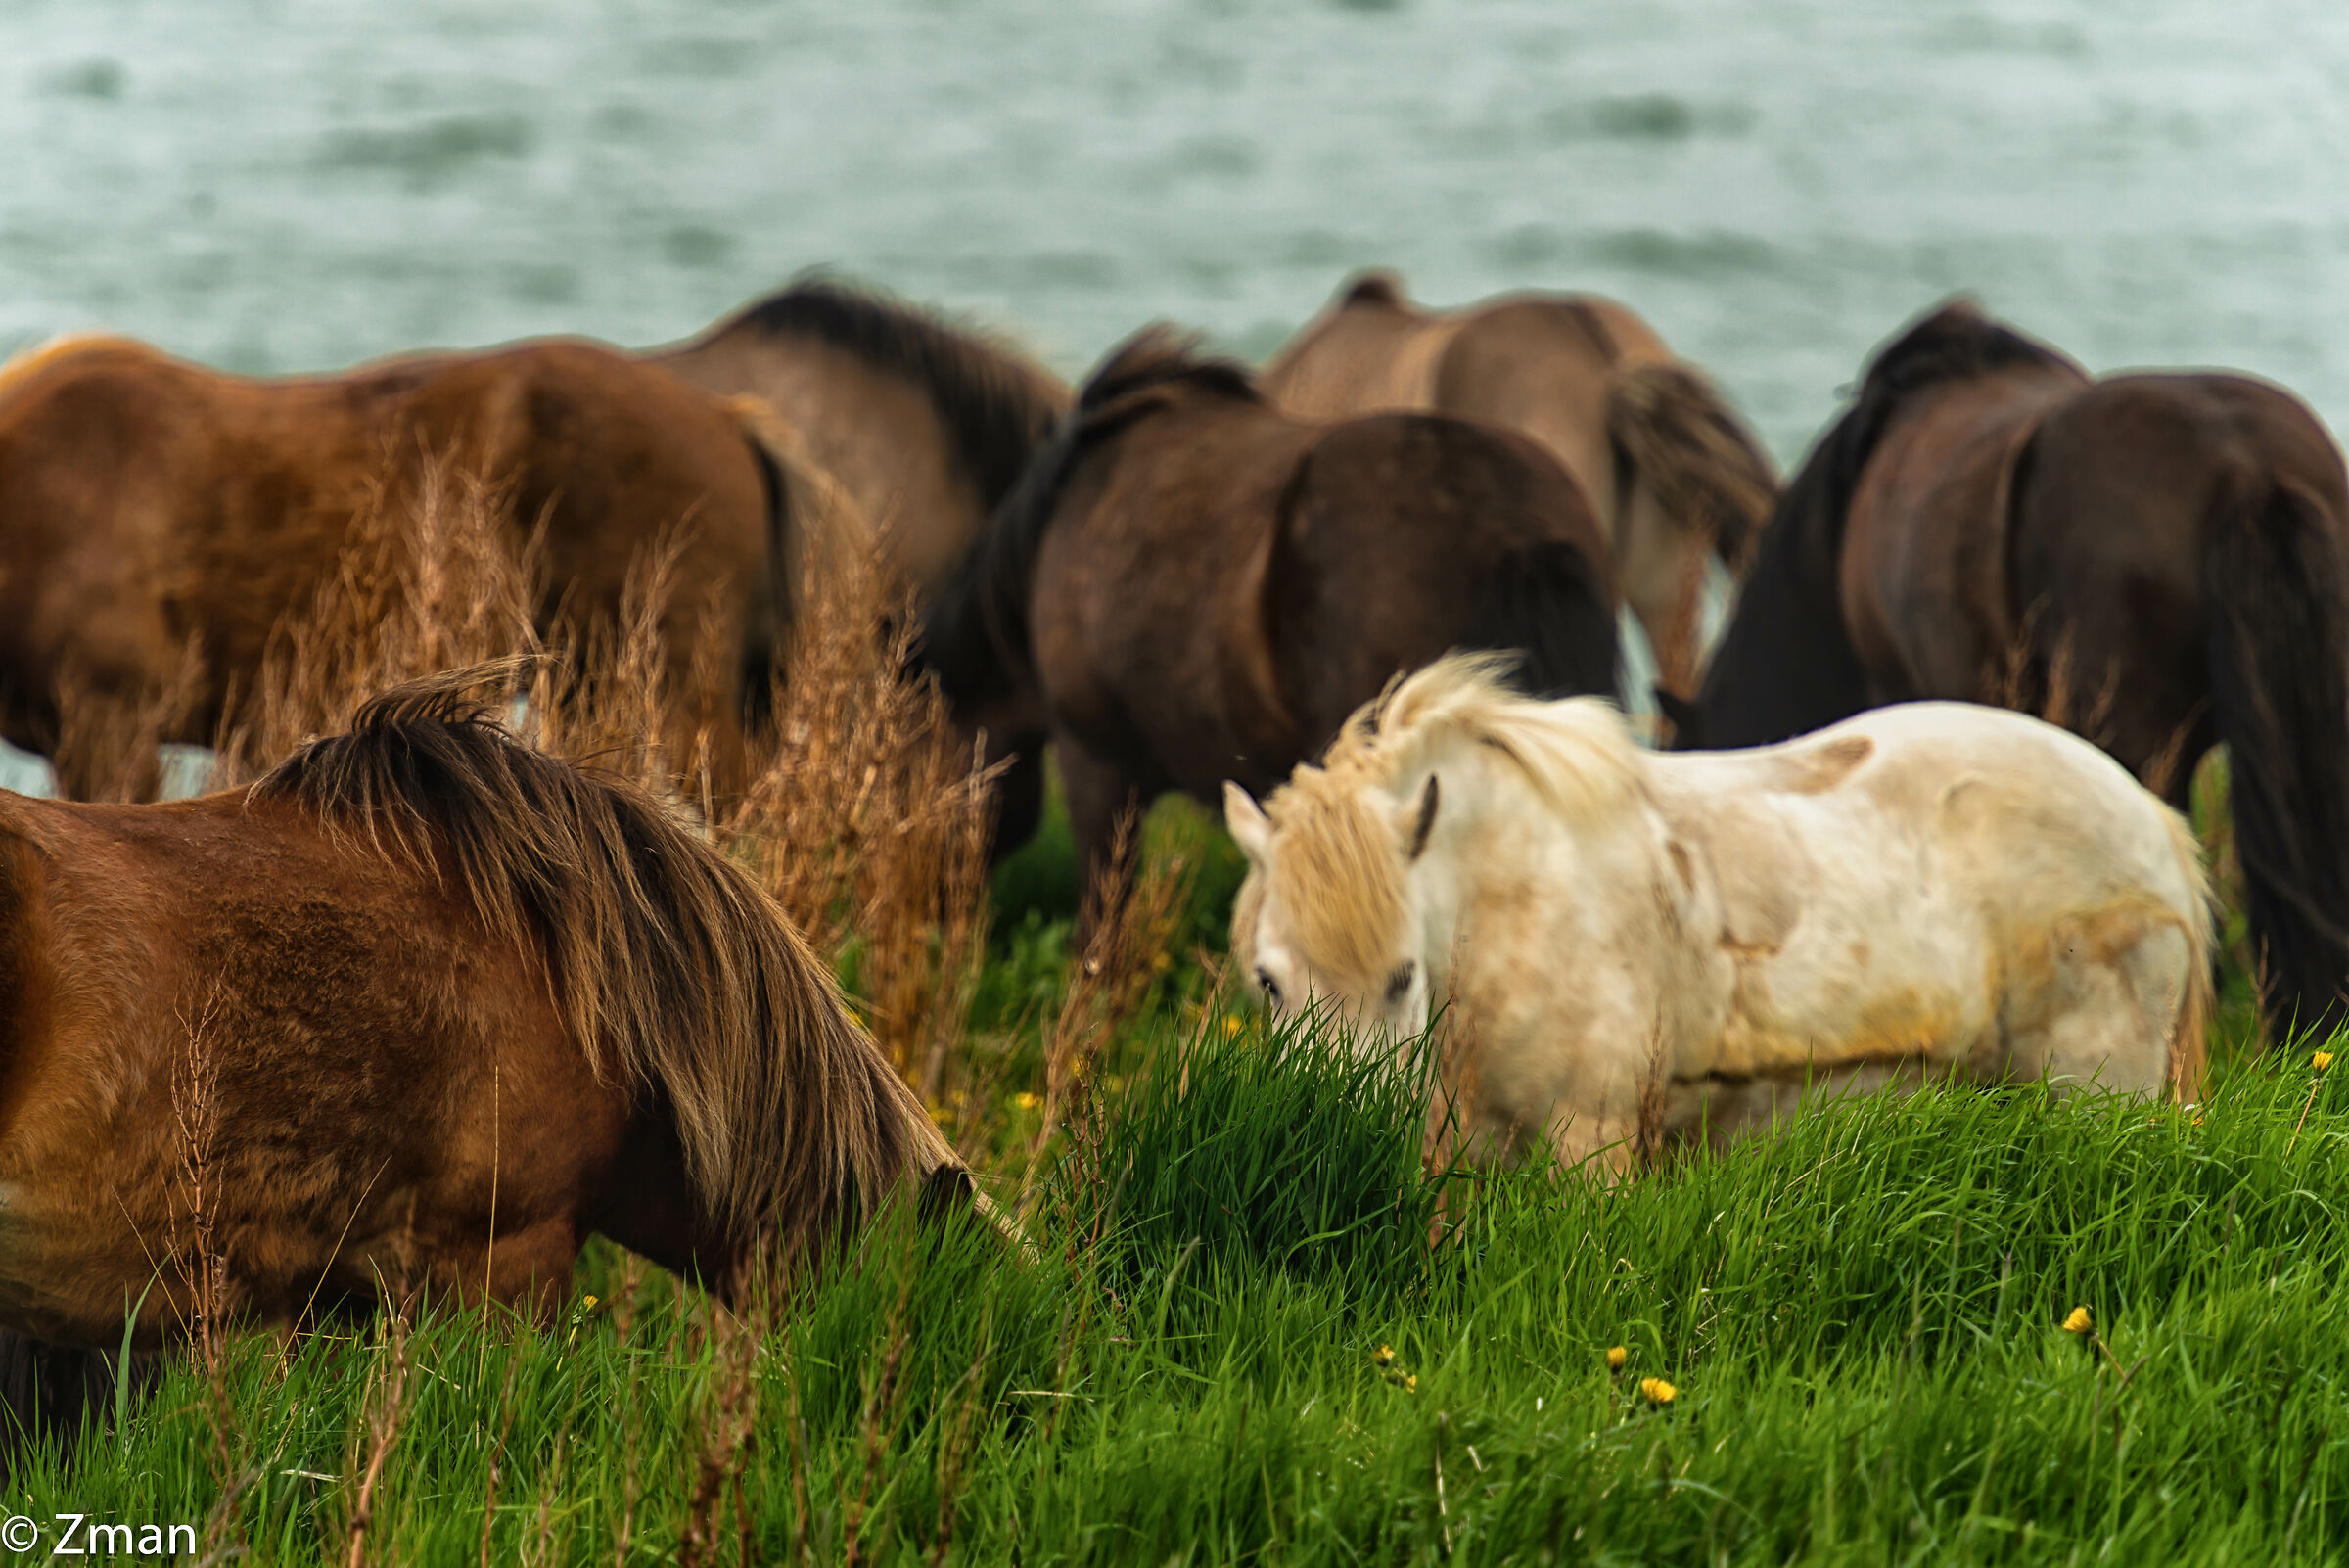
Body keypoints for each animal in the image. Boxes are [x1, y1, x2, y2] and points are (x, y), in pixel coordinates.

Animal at [1227, 655, 2213, 1171]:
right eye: (1268, 982)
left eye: (1402, 977)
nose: (1340, 1133)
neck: (1517, 897)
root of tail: (2149, 819)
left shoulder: (1593, 1140)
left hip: (2096, 1087)